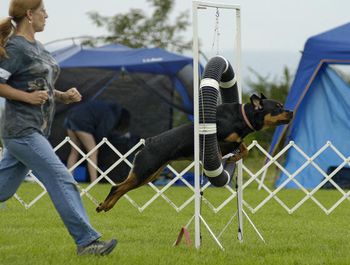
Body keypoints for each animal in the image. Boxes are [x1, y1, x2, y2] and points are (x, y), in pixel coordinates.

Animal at [95, 94, 292, 211]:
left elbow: (244, 148)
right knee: (116, 187)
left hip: (149, 174)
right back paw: (104, 205)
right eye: (277, 107)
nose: (291, 111)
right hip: (144, 171)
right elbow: (223, 150)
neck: (241, 118)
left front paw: (235, 156)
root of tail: (148, 143)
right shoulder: (215, 139)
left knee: (122, 188)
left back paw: (106, 206)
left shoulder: (236, 141)